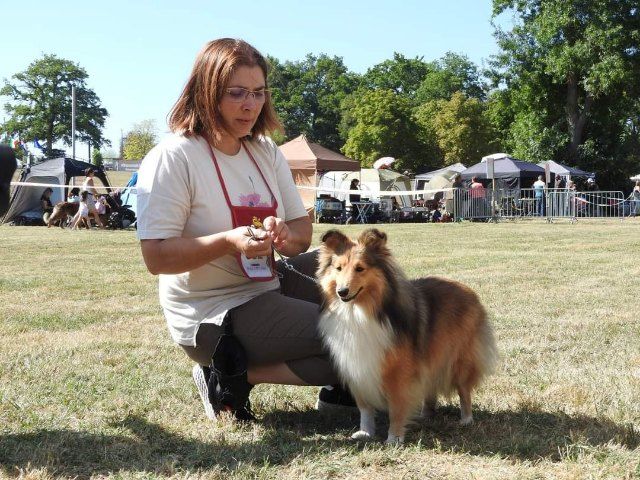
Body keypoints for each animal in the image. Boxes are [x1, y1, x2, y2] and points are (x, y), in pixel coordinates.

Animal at [318, 229, 498, 442]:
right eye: (338, 268)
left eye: (360, 268)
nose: (342, 292)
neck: (360, 311)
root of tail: (469, 290)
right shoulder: (358, 367)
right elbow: (365, 407)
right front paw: (365, 432)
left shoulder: (399, 373)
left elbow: (396, 408)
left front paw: (394, 438)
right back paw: (425, 415)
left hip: (460, 360)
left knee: (464, 390)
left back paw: (466, 419)